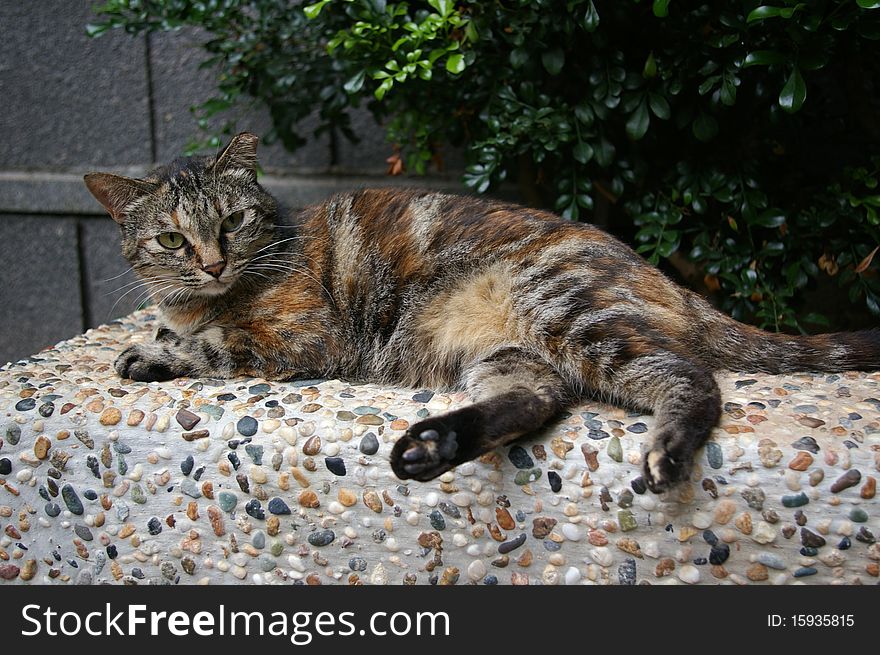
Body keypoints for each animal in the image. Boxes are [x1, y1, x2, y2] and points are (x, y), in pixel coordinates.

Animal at [84, 132, 880, 492]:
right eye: (170, 238)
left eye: (234, 221)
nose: (212, 262)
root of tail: (664, 278)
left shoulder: (301, 335)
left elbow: (215, 344)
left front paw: (151, 352)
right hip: (508, 353)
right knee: (539, 397)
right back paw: (434, 445)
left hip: (573, 314)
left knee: (691, 378)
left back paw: (670, 447)